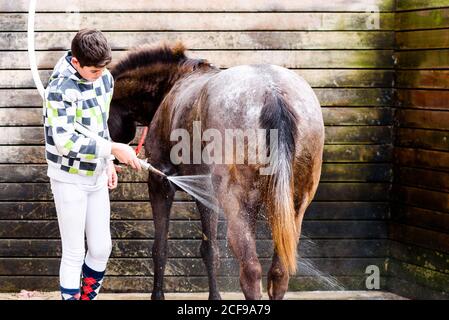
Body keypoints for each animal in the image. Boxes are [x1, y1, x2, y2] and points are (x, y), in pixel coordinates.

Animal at [107, 42, 326, 300]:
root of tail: (272, 92)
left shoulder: (162, 181)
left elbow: (165, 247)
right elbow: (209, 250)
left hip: (235, 200)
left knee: (251, 271)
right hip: (292, 205)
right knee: (279, 273)